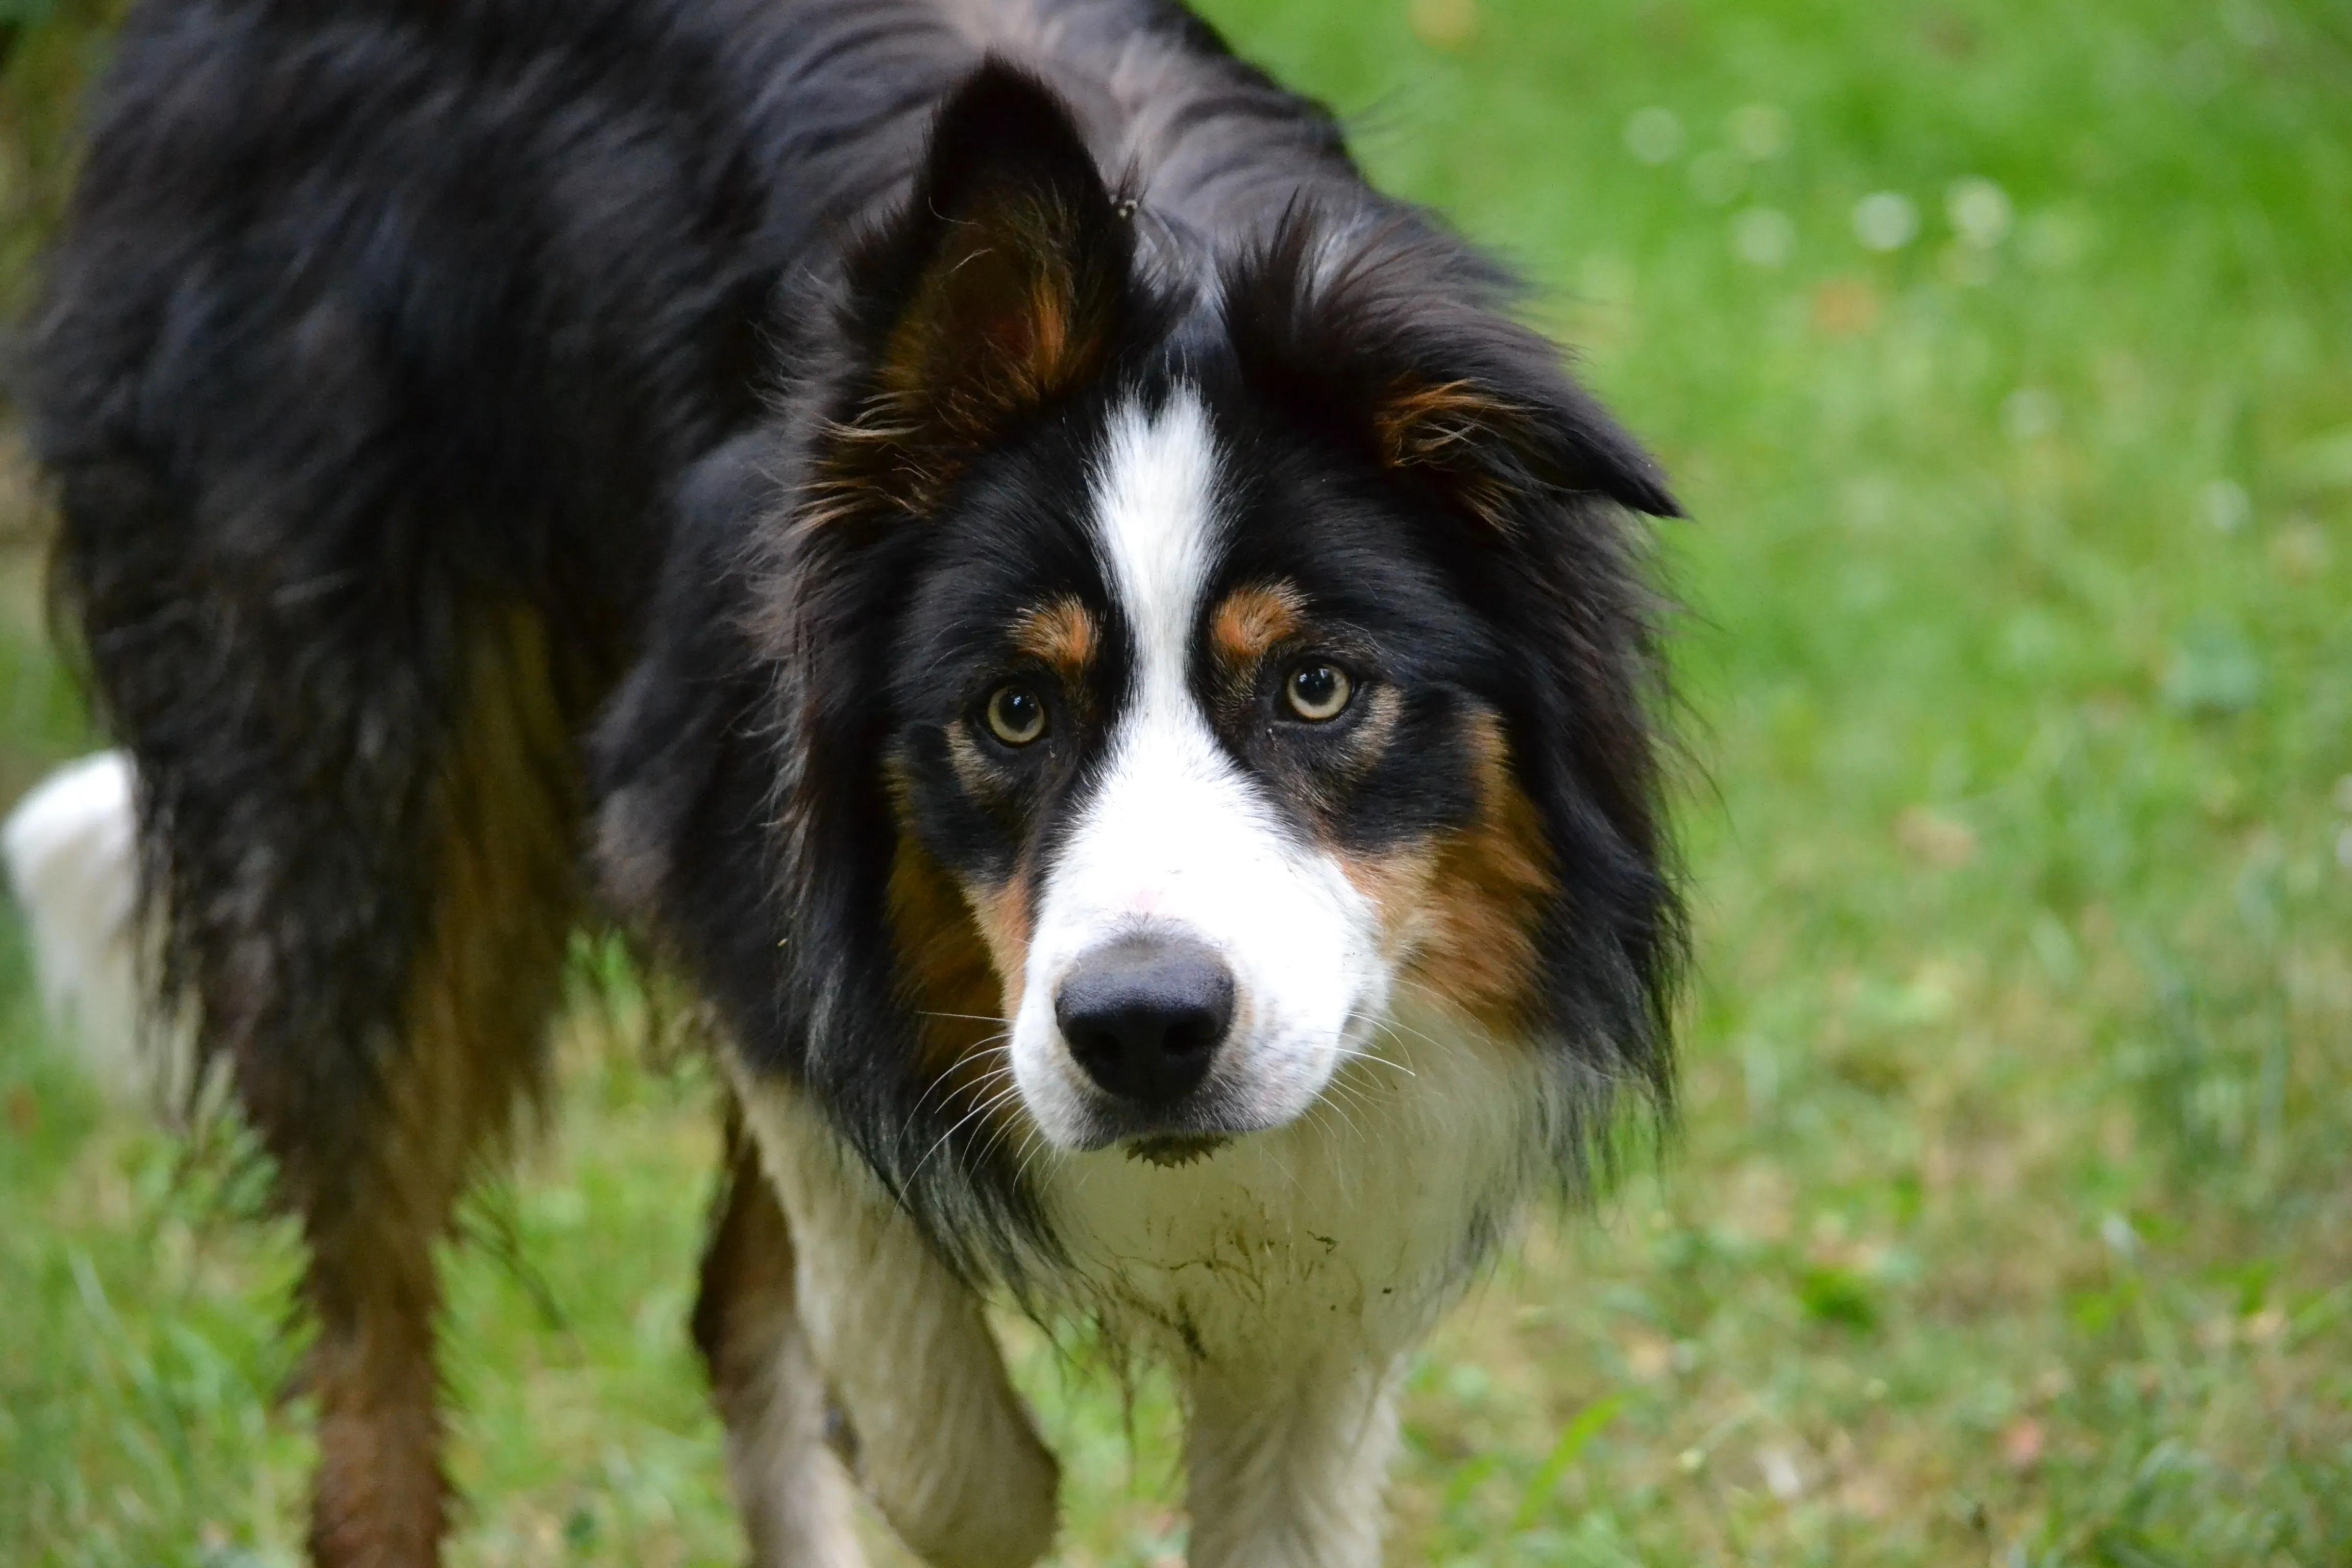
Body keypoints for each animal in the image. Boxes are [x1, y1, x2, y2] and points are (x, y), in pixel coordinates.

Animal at [14, 0, 1674, 1561]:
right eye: (1012, 711)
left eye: (1317, 687)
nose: (1141, 1031)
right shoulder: (722, 839)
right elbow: (956, 1458)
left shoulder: (1344, 1149)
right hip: (358, 780)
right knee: (380, 1331)